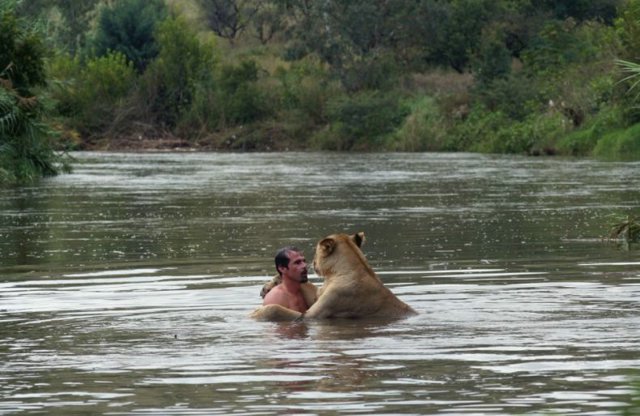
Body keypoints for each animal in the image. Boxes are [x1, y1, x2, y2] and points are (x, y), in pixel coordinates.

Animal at [250, 232, 416, 320]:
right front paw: (267, 287)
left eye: (315, 252)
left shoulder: (313, 315)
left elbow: (277, 309)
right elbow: (305, 284)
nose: (310, 263)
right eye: (300, 261)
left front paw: (256, 312)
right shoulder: (318, 297)